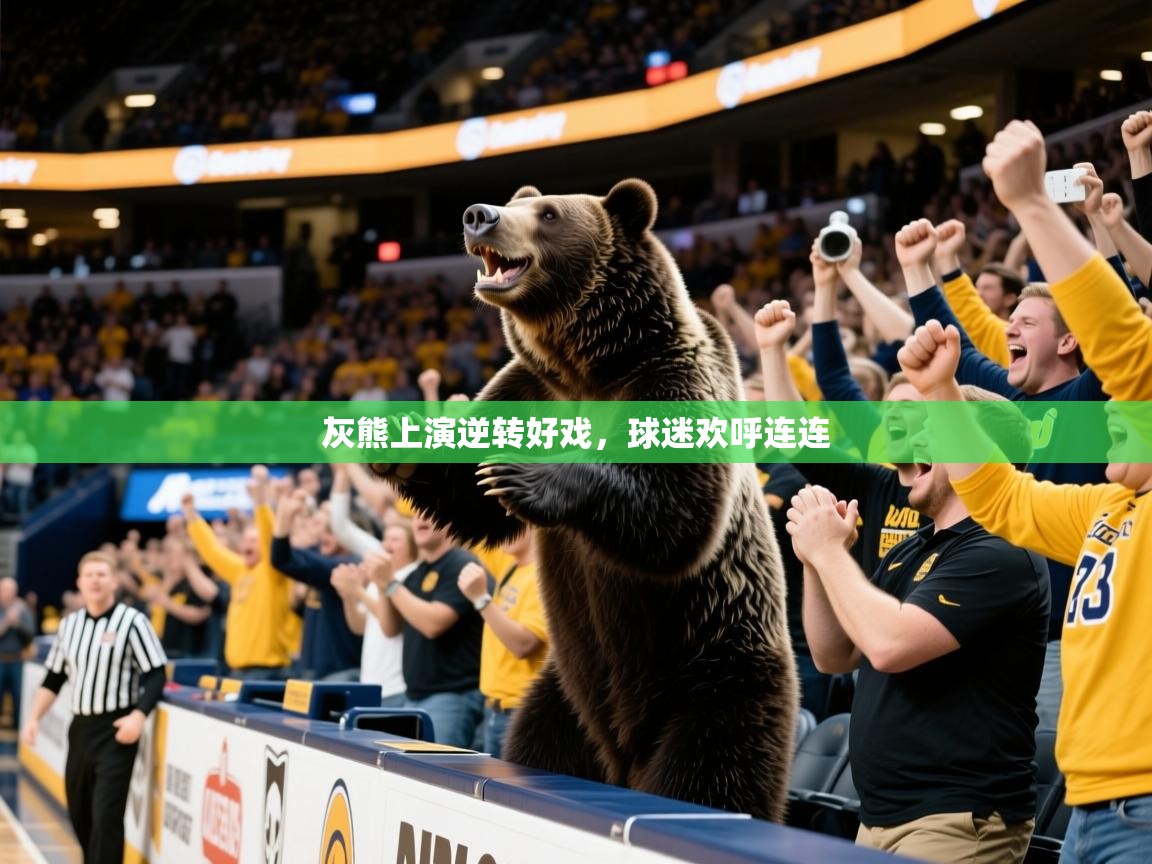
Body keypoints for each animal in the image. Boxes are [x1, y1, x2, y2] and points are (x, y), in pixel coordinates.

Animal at [371, 179, 798, 822]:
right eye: (515, 202)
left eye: (548, 214)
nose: (478, 216)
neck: (586, 364)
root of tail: (623, 757)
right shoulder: (529, 386)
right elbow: (470, 498)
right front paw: (396, 440)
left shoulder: (669, 379)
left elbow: (679, 513)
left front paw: (524, 475)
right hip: (567, 694)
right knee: (543, 741)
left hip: (713, 676)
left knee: (710, 773)